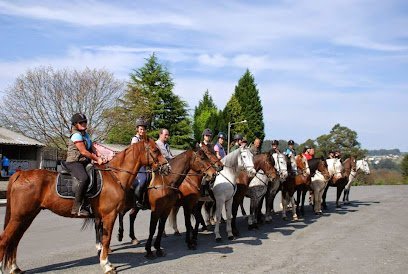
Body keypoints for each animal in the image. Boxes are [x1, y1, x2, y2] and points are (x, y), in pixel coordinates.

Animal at [0, 138, 169, 274]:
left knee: (15, 240)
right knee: (5, 240)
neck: (114, 176)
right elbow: (106, 240)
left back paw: (15, 268)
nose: (166, 167)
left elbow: (103, 238)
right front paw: (106, 265)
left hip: (27, 217)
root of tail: (20, 174)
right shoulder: (110, 215)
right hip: (19, 217)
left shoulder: (102, 216)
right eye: (155, 150)